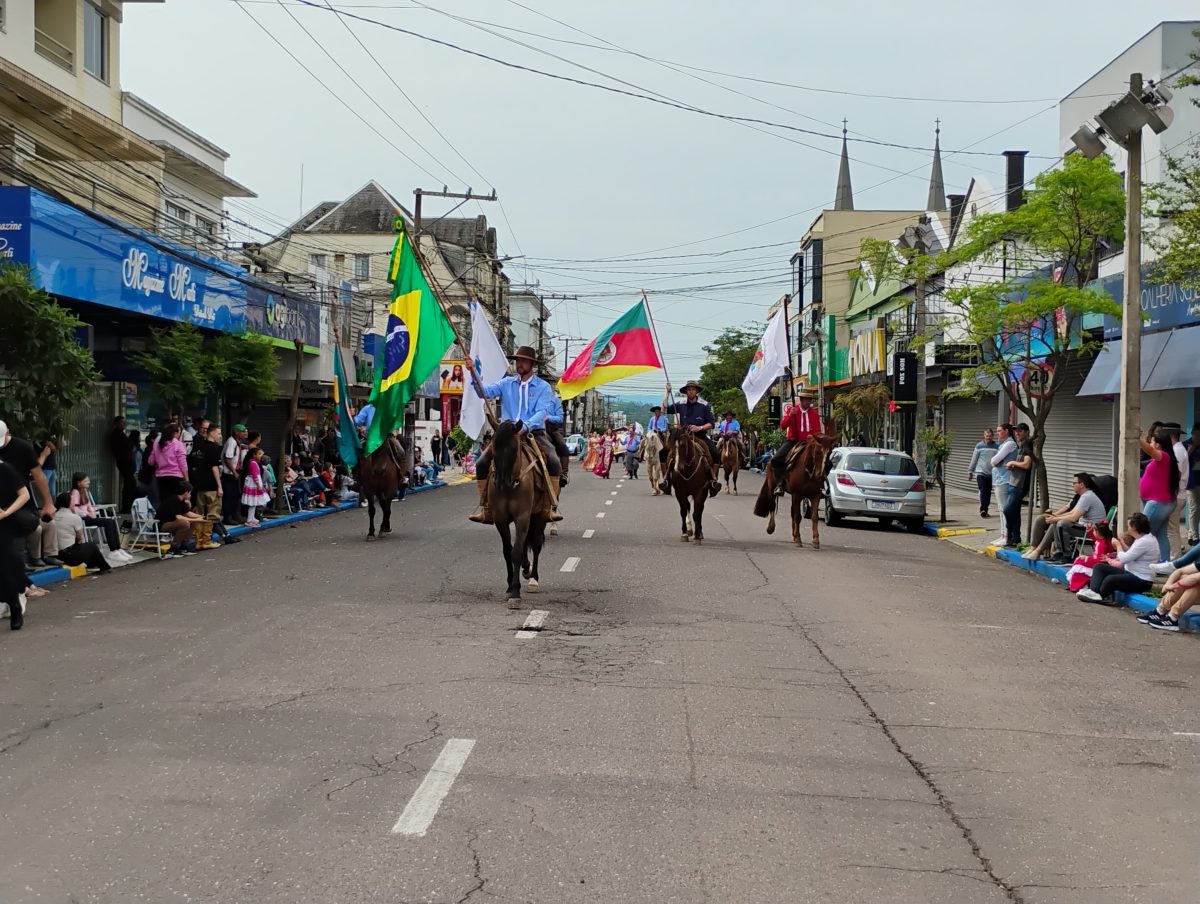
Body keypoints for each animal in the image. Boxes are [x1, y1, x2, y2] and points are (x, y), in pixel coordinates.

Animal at [487, 422, 549, 607]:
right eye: (493, 448)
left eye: (514, 449)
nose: (501, 484)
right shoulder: (500, 519)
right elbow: (508, 551)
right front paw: (509, 587)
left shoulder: (522, 517)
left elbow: (516, 552)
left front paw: (515, 592)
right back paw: (526, 569)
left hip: (539, 516)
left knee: (535, 544)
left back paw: (533, 578)